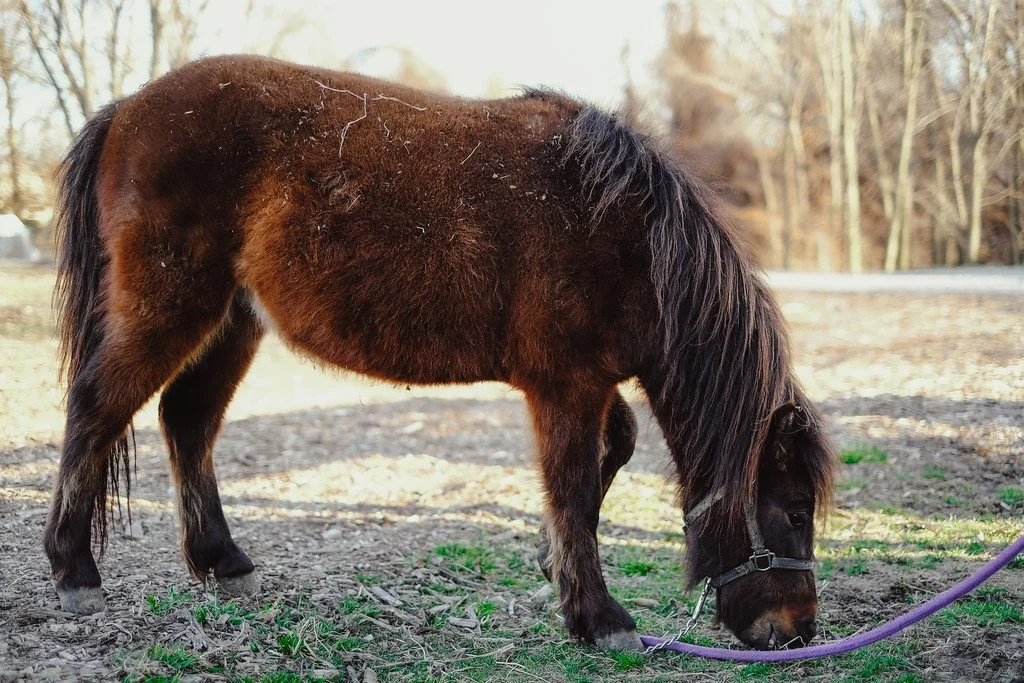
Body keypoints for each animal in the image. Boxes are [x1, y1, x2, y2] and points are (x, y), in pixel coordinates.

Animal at [46, 55, 835, 651]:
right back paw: (74, 571)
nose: (797, 631)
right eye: (796, 511)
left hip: (232, 322)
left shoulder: (591, 382)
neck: (625, 235)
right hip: (170, 308)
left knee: (187, 422)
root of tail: (127, 108)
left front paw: (552, 565)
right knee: (96, 409)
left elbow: (612, 454)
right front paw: (598, 618)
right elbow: (575, 485)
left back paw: (222, 562)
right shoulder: (565, 386)